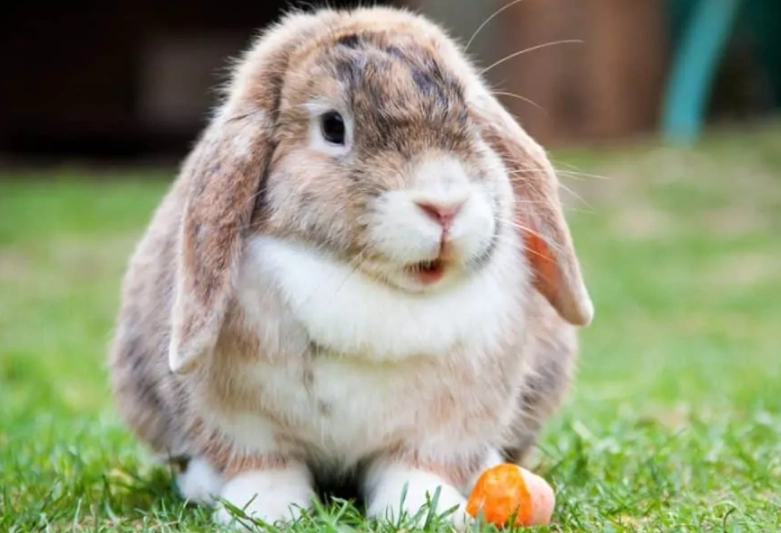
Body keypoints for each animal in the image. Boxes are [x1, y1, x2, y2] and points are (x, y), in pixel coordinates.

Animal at [108, 4, 593, 530]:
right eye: (333, 127)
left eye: (467, 114)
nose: (444, 205)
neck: (371, 287)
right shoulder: (241, 422)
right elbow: (264, 466)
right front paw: (266, 513)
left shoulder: (445, 426)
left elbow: (416, 467)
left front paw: (425, 511)